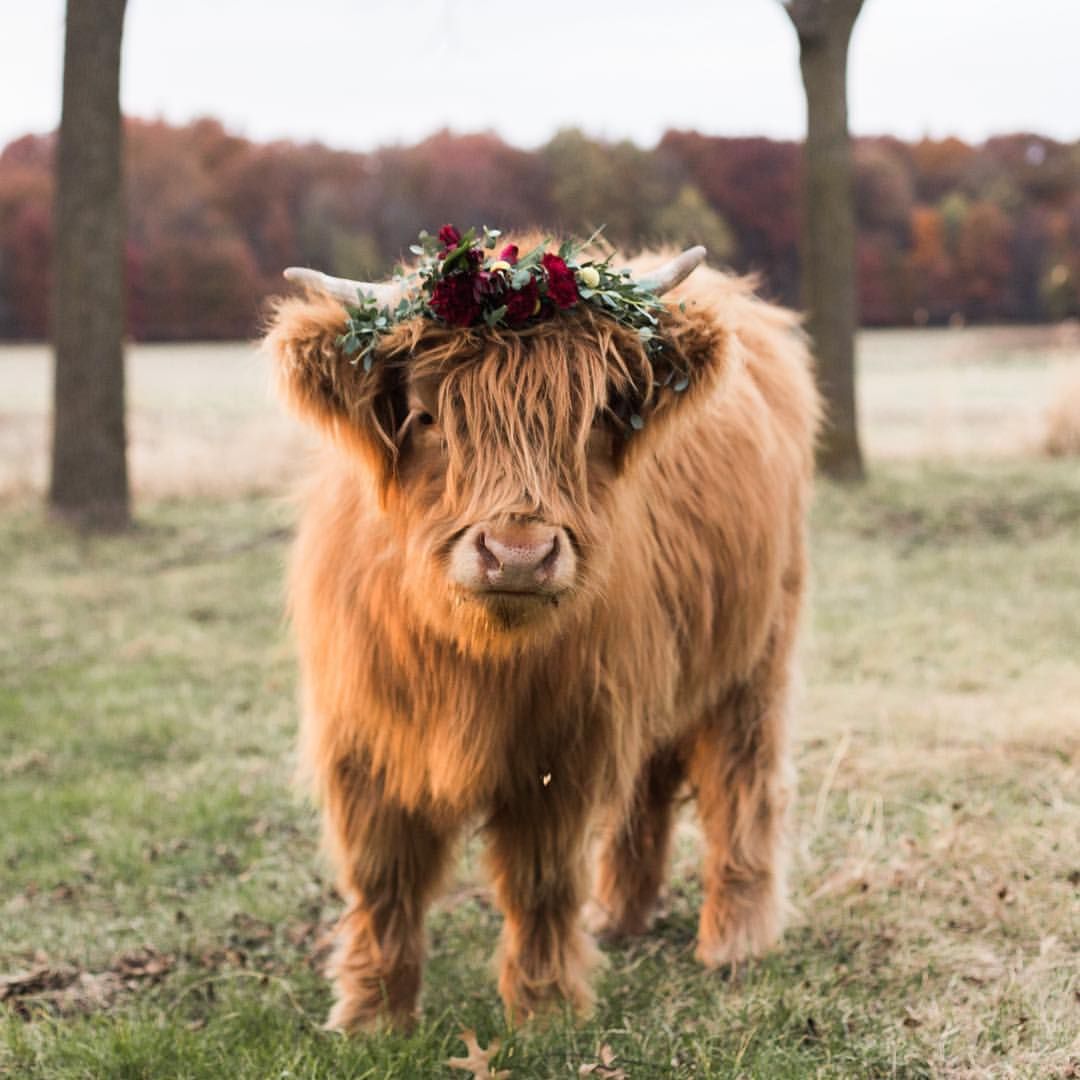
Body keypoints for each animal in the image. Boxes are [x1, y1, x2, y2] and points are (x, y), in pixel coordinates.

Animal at [263, 234, 820, 1032]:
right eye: (427, 416)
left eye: (590, 418)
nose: (519, 554)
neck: (473, 655)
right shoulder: (365, 739)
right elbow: (383, 879)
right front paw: (372, 1016)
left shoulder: (562, 746)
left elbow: (540, 879)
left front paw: (544, 1010)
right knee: (647, 788)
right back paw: (620, 917)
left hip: (756, 657)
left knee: (743, 783)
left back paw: (736, 940)